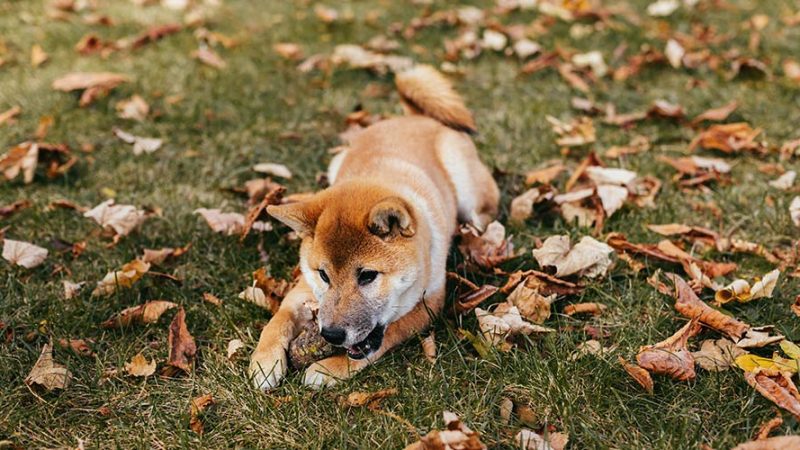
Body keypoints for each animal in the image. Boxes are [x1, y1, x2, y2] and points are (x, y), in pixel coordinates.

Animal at [252, 64, 500, 390]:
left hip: (470, 195)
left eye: (368, 276)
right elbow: (277, 319)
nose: (331, 335)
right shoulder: (304, 288)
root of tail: (415, 117)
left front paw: (330, 368)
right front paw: (264, 360)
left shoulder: (429, 305)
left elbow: (385, 336)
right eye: (323, 275)